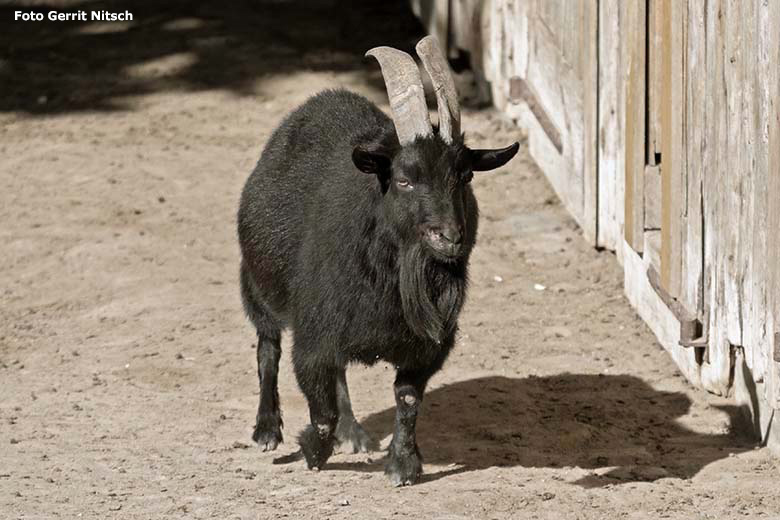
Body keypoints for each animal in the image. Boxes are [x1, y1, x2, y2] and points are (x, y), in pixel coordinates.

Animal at [238, 35, 516, 484]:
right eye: (403, 180)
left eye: (465, 176)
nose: (450, 237)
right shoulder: (313, 337)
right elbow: (321, 411)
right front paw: (312, 451)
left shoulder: (426, 347)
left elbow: (406, 399)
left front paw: (402, 464)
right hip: (255, 284)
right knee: (268, 348)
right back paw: (267, 429)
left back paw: (354, 433)